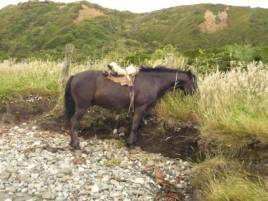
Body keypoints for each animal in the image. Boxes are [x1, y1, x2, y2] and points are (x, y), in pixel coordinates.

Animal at [63, 66, 196, 149]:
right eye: (194, 82)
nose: (195, 95)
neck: (153, 81)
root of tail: (74, 76)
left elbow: (138, 125)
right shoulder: (140, 107)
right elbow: (135, 125)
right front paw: (130, 143)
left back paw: (71, 142)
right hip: (81, 106)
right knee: (74, 121)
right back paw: (75, 144)